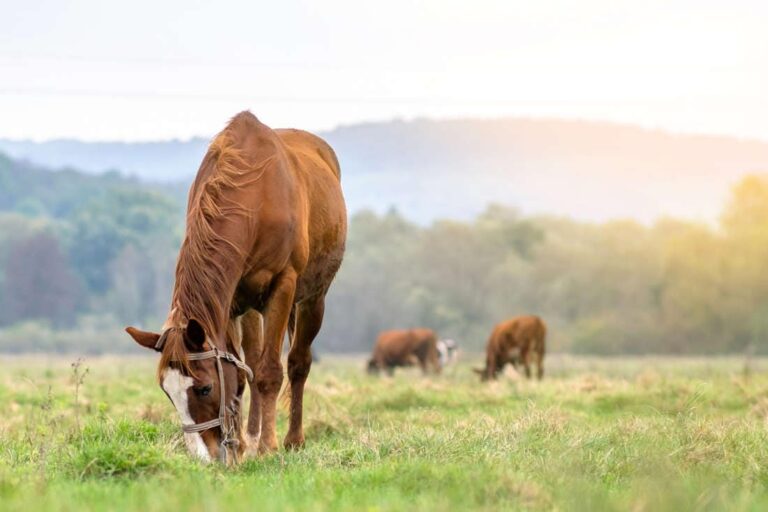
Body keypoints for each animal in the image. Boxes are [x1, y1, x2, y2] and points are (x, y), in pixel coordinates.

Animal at [126, 111, 347, 464]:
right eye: (167, 391)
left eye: (203, 388)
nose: (203, 457)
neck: (255, 198)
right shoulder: (226, 303)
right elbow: (240, 374)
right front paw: (241, 445)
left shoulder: (282, 287)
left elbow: (270, 372)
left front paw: (268, 446)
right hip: (249, 307)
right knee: (253, 360)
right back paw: (252, 436)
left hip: (313, 298)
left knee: (298, 362)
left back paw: (291, 439)